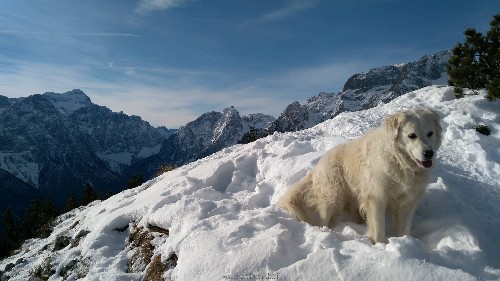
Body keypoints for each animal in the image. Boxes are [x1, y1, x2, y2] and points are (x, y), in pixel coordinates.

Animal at [280, 108, 444, 242]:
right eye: (412, 135)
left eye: (430, 133)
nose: (429, 153)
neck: (399, 162)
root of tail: (317, 166)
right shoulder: (377, 198)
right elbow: (378, 230)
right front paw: (380, 245)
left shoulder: (407, 202)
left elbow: (403, 230)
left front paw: (404, 242)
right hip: (332, 197)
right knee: (323, 219)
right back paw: (325, 232)